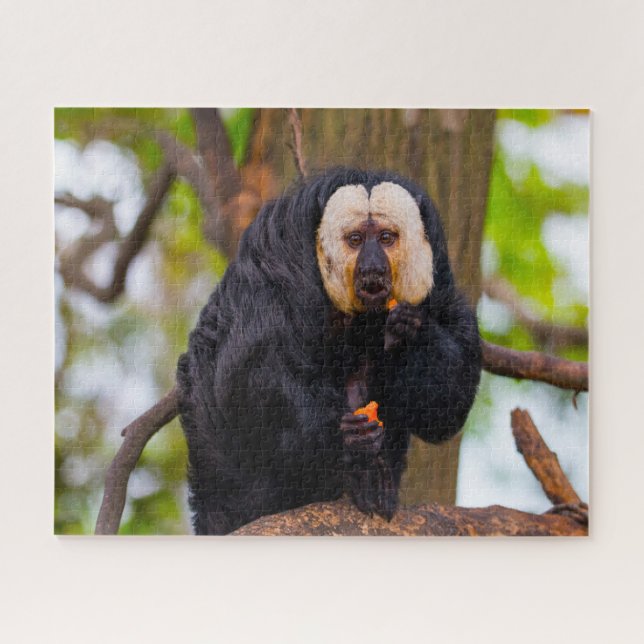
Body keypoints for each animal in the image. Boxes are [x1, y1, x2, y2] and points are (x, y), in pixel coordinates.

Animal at [177, 167, 481, 535]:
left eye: (386, 238)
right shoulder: (273, 281)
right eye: (355, 240)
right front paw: (346, 438)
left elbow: (445, 408)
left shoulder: (441, 289)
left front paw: (408, 331)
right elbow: (246, 375)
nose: (372, 267)